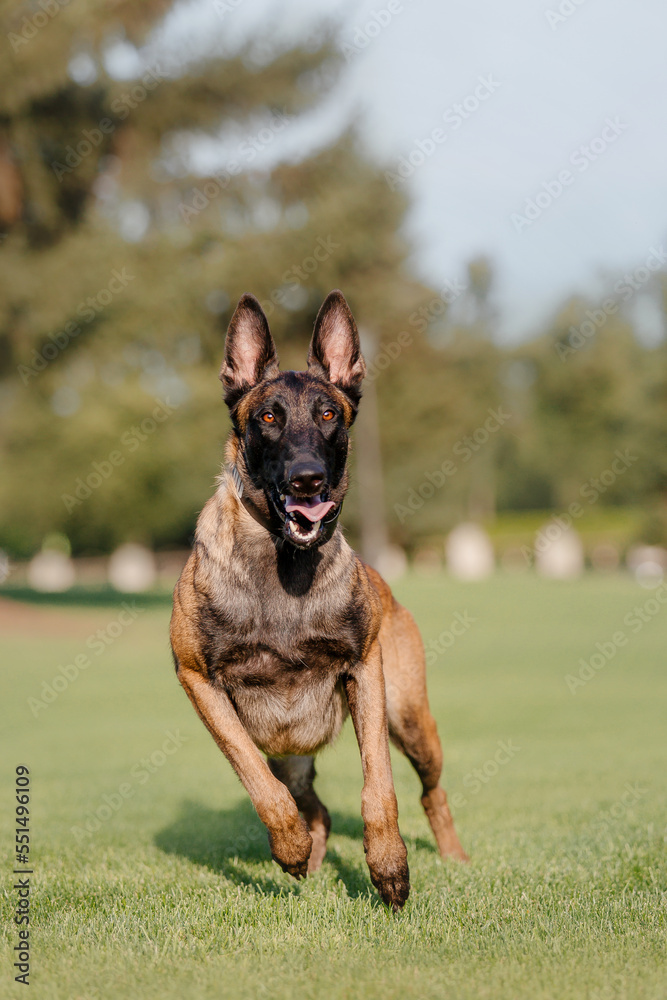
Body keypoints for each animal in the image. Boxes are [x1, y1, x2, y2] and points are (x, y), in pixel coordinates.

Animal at [170, 292, 468, 916]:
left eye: (329, 415)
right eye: (267, 417)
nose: (308, 480)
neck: (283, 566)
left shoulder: (365, 671)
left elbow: (378, 787)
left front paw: (388, 868)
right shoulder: (197, 679)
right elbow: (253, 775)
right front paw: (288, 846)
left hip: (410, 720)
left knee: (431, 791)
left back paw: (455, 859)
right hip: (291, 751)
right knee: (312, 805)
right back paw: (305, 856)